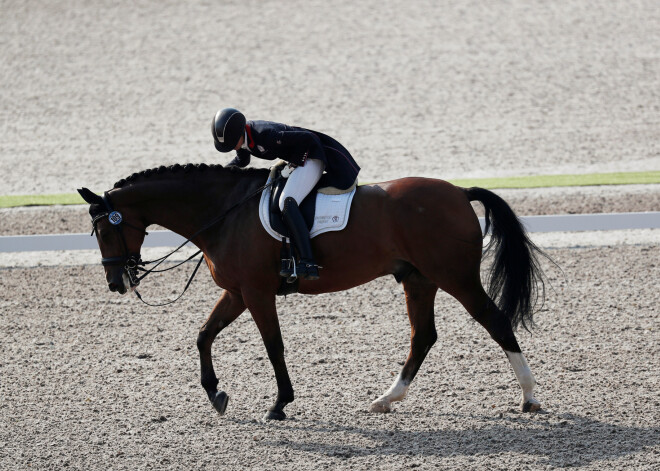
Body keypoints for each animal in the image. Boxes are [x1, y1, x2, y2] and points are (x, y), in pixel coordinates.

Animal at [78, 164, 548, 422]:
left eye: (104, 230)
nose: (116, 283)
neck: (224, 212)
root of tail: (459, 191)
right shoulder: (238, 291)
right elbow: (203, 335)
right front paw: (216, 394)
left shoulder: (257, 292)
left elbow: (274, 347)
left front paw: (279, 405)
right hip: (418, 280)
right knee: (424, 337)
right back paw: (386, 399)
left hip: (453, 277)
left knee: (496, 321)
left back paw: (529, 397)